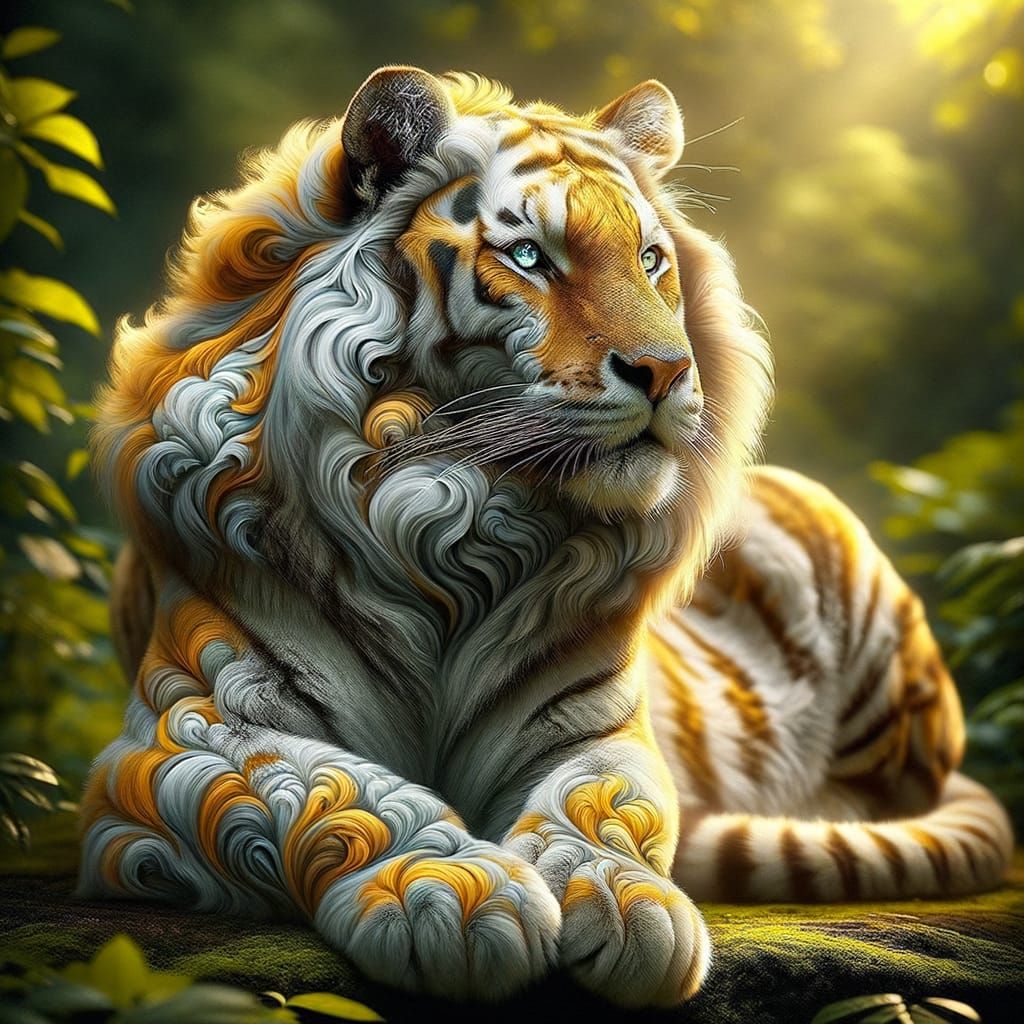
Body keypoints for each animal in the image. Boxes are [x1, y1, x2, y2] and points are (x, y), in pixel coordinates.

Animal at [79, 66, 1013, 1008]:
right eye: (530, 257)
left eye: (650, 259)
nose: (668, 371)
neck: (454, 527)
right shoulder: (189, 732)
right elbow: (329, 787)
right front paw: (451, 897)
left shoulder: (594, 727)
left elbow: (601, 801)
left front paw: (627, 904)